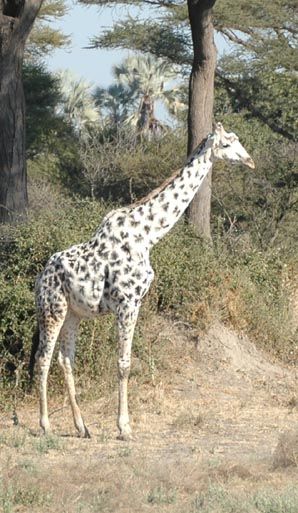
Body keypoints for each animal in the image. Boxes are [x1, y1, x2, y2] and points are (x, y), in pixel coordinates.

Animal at [29, 123, 254, 440]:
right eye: (226, 144)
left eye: (238, 140)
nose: (249, 160)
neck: (147, 236)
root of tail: (40, 276)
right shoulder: (128, 302)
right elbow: (124, 363)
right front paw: (125, 428)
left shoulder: (133, 303)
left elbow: (123, 361)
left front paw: (118, 425)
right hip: (52, 309)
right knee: (43, 358)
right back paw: (45, 425)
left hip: (74, 313)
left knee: (65, 359)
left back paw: (82, 426)